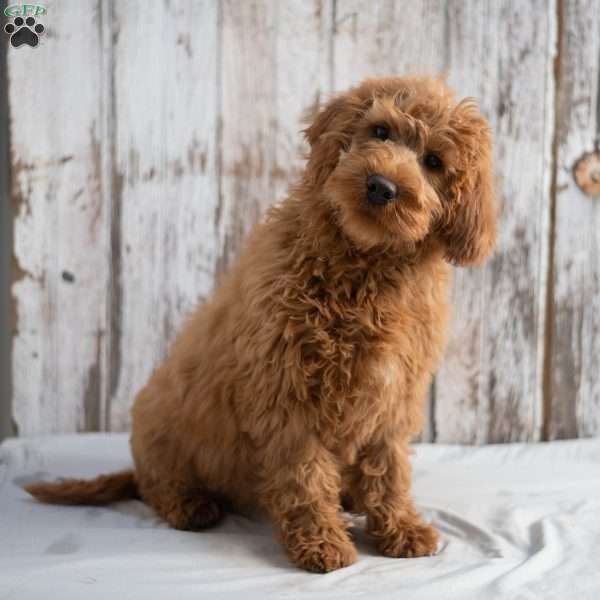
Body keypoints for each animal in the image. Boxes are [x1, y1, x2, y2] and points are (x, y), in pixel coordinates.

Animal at [25, 75, 496, 572]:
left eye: (434, 162)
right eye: (381, 131)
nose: (381, 186)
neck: (365, 267)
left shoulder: (393, 395)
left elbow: (388, 469)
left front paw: (399, 527)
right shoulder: (287, 392)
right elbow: (305, 475)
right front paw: (321, 541)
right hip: (160, 424)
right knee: (156, 483)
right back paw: (189, 504)